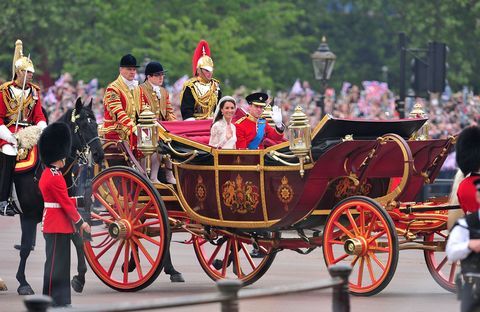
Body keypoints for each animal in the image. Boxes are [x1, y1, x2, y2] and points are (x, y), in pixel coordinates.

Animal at [13, 98, 104, 294]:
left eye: (96, 125)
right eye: (83, 126)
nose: (99, 155)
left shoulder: (66, 207)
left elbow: (77, 238)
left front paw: (79, 278)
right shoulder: (28, 216)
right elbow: (25, 248)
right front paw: (23, 282)